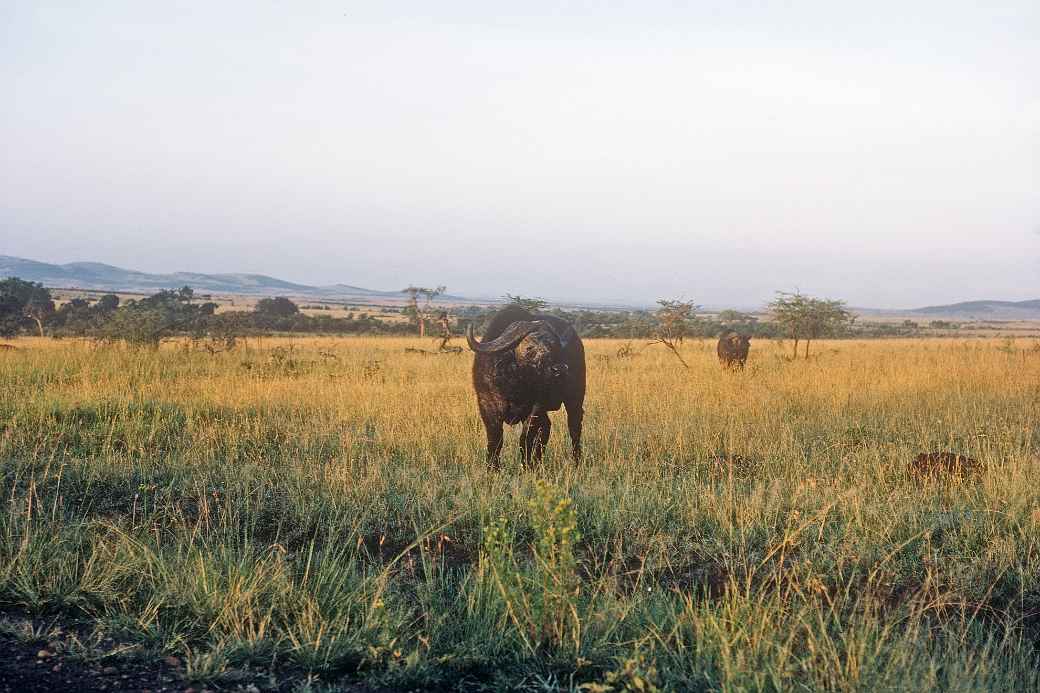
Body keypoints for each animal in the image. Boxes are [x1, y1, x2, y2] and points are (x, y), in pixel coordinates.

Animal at [467, 305, 586, 466]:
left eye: (554, 345)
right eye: (529, 348)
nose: (560, 369)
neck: (516, 385)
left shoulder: (536, 407)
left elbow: (526, 439)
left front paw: (527, 464)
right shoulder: (487, 405)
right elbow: (495, 440)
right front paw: (493, 467)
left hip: (575, 398)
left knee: (574, 427)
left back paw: (576, 461)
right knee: (547, 427)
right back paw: (539, 460)